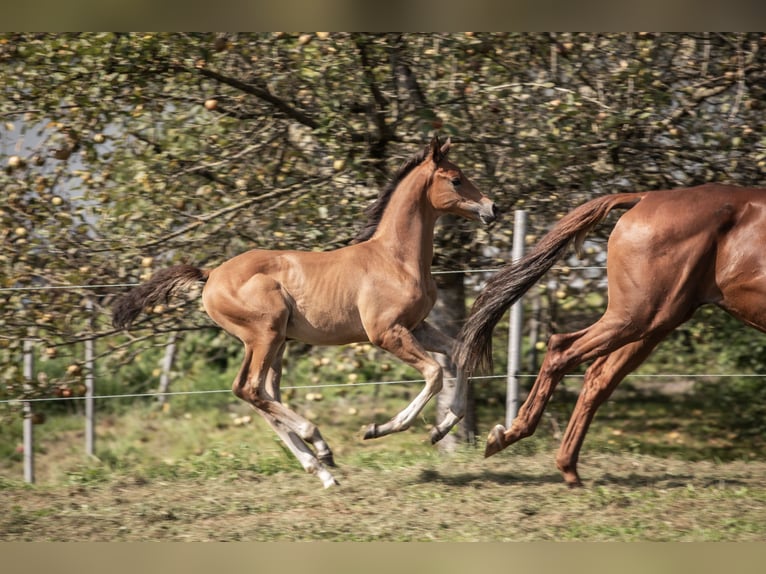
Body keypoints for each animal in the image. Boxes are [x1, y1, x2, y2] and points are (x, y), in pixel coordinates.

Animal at [112, 137, 498, 488]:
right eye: (456, 179)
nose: (492, 208)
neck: (395, 258)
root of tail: (211, 275)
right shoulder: (386, 332)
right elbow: (434, 373)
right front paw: (379, 428)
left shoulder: (416, 326)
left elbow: (459, 353)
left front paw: (441, 428)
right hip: (264, 334)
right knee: (249, 389)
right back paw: (319, 443)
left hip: (276, 342)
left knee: (262, 394)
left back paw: (321, 469)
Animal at [456, 186, 766, 490]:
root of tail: (646, 197)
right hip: (638, 317)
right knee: (562, 349)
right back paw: (512, 435)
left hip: (652, 325)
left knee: (598, 378)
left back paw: (564, 466)